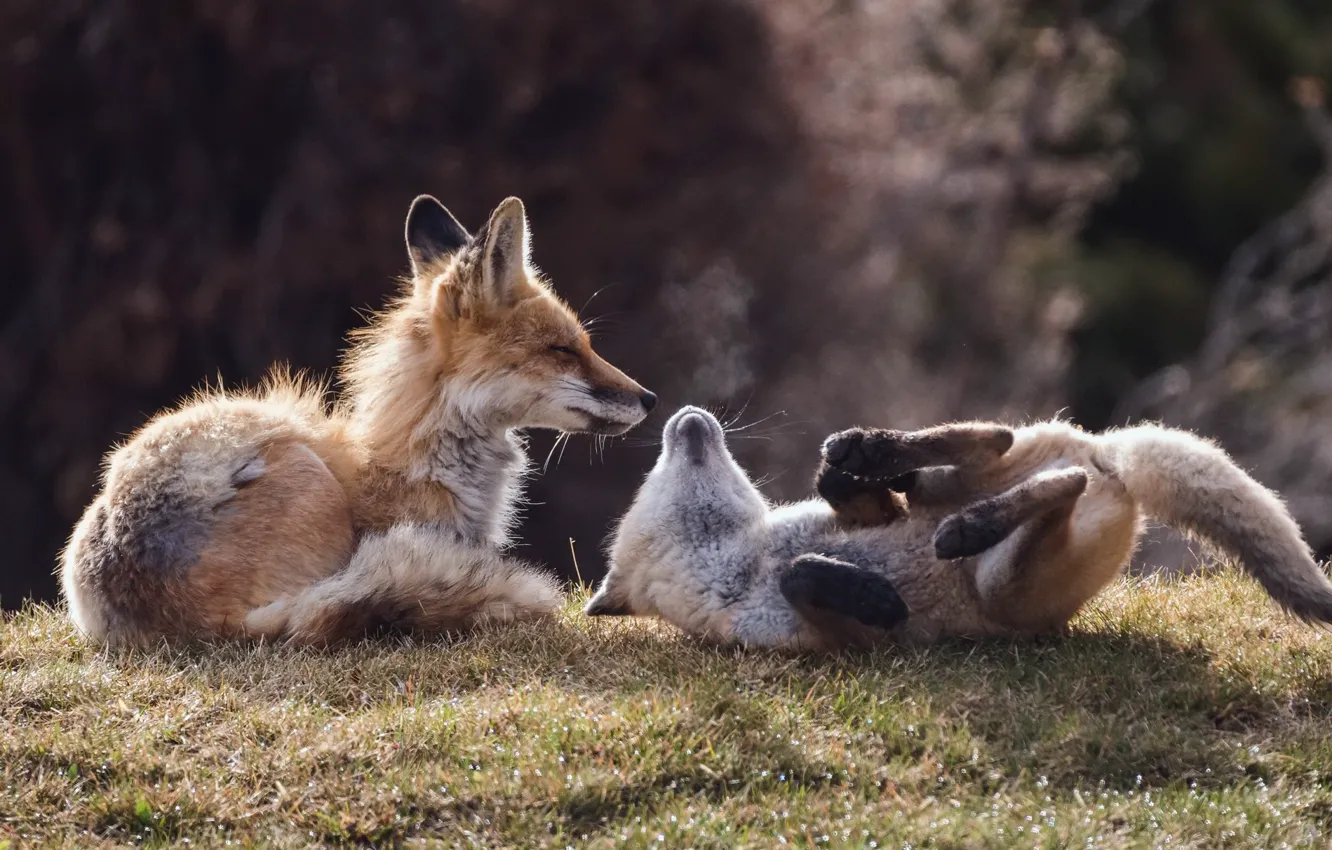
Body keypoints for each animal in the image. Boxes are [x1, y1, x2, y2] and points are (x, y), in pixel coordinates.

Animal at [586, 406, 1332, 649]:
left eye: (646, 473)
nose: (682, 417)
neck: (748, 561)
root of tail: (1109, 458)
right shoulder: (826, 643)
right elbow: (808, 579)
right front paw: (875, 595)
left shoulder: (846, 518)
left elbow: (843, 510)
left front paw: (855, 483)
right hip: (1011, 586)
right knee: (1059, 486)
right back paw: (969, 529)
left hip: (960, 481)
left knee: (985, 441)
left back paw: (871, 449)